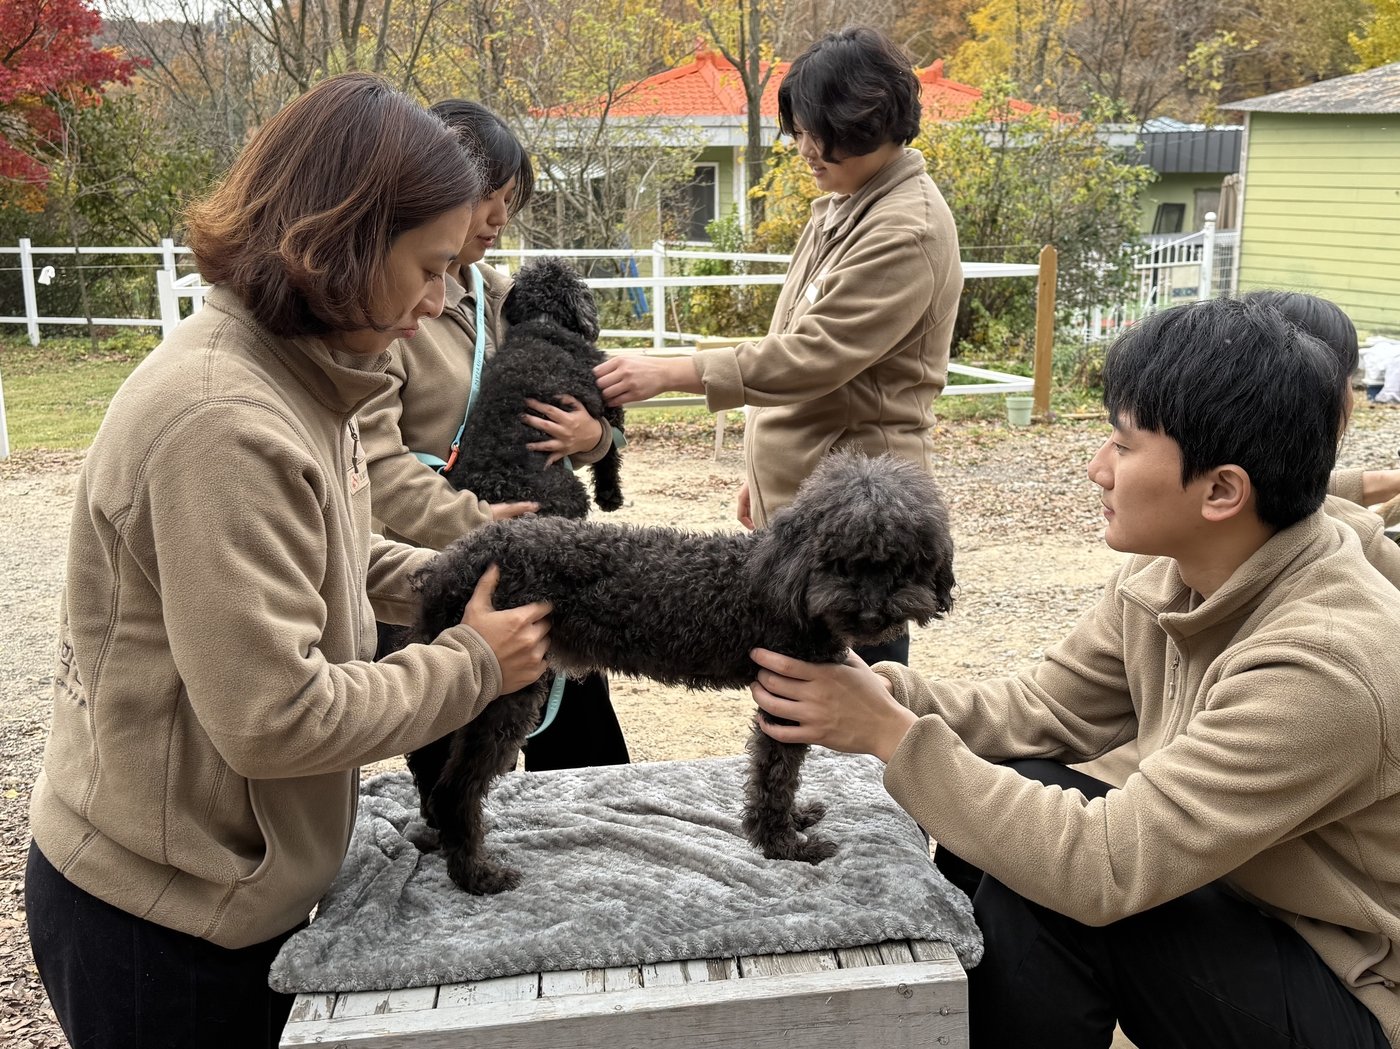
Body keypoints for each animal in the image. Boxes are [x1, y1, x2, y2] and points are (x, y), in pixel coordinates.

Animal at [400, 450, 957, 890]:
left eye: (904, 563)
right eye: (840, 561)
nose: (872, 613)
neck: (781, 580)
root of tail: (450, 564)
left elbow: (782, 771)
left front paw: (795, 821)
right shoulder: (786, 694)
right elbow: (775, 773)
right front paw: (783, 844)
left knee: (432, 766)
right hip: (508, 690)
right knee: (455, 787)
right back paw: (477, 875)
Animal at [448, 254, 624, 515]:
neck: (542, 322)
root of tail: (494, 488)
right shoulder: (607, 401)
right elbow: (610, 450)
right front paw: (610, 495)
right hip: (566, 491)